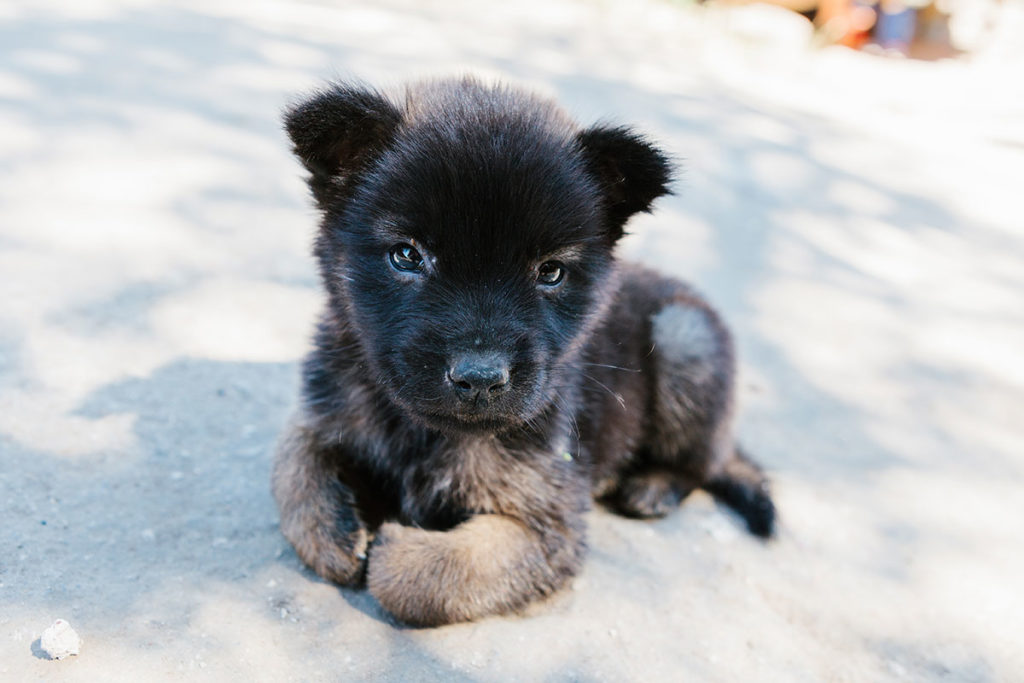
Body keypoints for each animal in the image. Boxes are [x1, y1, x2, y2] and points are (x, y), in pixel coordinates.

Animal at [274, 77, 774, 626]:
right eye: (406, 255)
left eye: (551, 272)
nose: (479, 378)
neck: (422, 436)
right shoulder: (324, 407)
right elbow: (293, 467)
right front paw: (335, 534)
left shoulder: (550, 524)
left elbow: (431, 576)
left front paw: (393, 550)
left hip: (686, 337)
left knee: (705, 461)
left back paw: (654, 486)